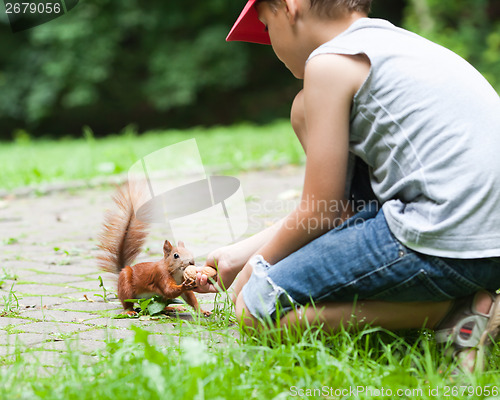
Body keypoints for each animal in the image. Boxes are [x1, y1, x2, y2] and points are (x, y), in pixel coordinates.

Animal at [96, 186, 210, 318]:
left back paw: (172, 308)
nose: (191, 262)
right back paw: (130, 311)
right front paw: (185, 286)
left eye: (190, 252)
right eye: (176, 255)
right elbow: (168, 290)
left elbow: (190, 298)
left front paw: (202, 311)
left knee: (161, 305)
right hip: (126, 286)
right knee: (127, 302)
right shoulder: (160, 275)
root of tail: (122, 270)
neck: (176, 273)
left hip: (158, 298)